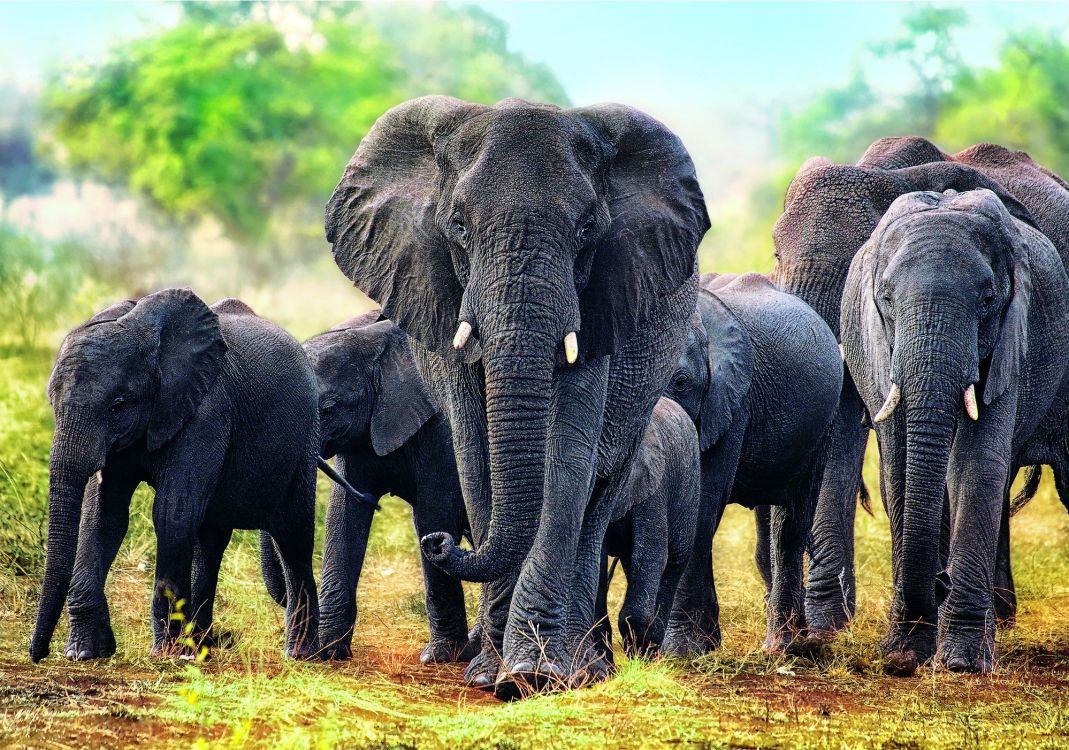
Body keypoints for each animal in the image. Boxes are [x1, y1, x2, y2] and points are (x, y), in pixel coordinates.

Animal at [28, 290, 320, 662]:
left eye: (118, 405)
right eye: (52, 403)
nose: (37, 655)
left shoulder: (207, 411)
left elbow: (172, 513)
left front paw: (163, 654)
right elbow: (104, 515)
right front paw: (85, 653)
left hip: (306, 441)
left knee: (293, 537)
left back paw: (301, 654)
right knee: (211, 540)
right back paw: (202, 647)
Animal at [324, 97, 709, 700]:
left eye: (586, 229)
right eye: (458, 226)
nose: (437, 541)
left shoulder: (602, 297)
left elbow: (568, 454)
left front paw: (532, 674)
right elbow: (475, 451)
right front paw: (489, 674)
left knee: (600, 493)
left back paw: (587, 667)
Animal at [842, 188, 1069, 675]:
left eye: (987, 298)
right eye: (885, 298)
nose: (940, 581)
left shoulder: (1011, 340)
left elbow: (973, 465)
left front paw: (962, 662)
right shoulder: (877, 351)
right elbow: (900, 468)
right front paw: (904, 654)